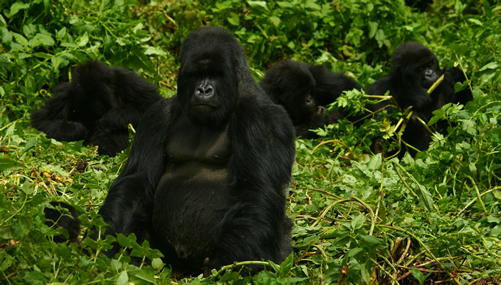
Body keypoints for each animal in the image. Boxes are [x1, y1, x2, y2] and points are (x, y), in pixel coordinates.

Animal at [30, 60, 162, 156]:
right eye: (87, 99)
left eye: (97, 95)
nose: (95, 105)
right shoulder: (66, 93)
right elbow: (42, 120)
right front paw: (77, 129)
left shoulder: (126, 79)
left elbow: (152, 104)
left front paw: (110, 119)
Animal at [93, 26, 294, 276]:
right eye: (196, 75)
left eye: (216, 75)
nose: (204, 90)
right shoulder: (156, 115)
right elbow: (137, 182)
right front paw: (110, 245)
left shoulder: (263, 120)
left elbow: (256, 189)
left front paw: (230, 265)